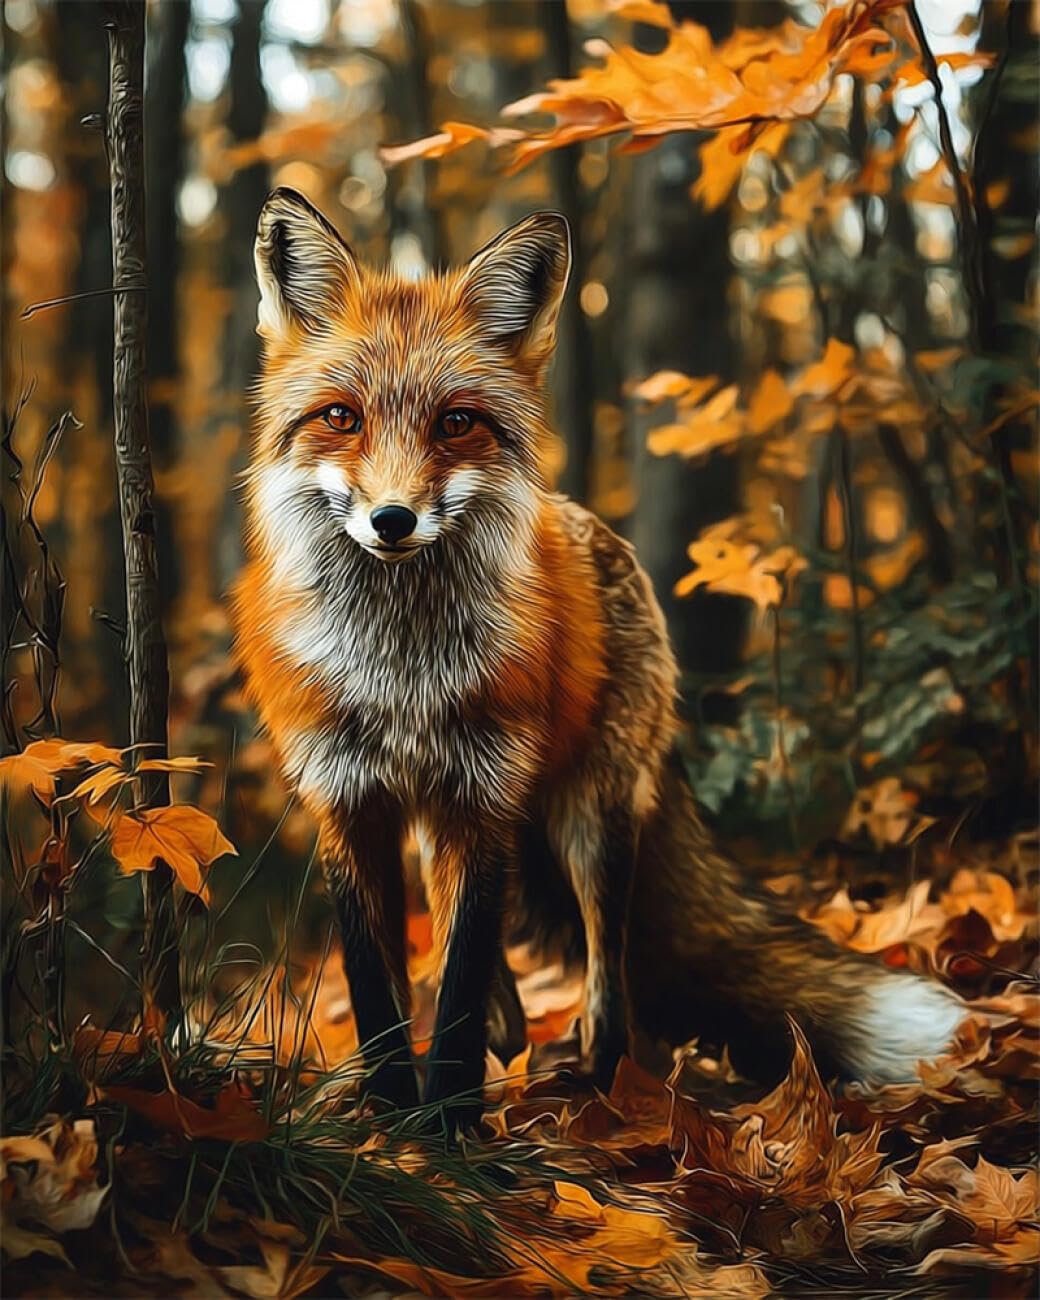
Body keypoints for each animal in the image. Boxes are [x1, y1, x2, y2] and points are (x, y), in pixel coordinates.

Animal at [233, 187, 965, 1128]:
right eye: (340, 418)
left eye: (456, 423)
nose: (393, 521)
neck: (400, 672)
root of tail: (592, 525)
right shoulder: (347, 801)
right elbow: (378, 993)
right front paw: (393, 1120)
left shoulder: (484, 795)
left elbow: (460, 989)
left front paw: (451, 1130)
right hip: (451, 824)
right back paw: (515, 1044)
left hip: (592, 816)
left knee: (606, 969)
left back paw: (601, 1082)